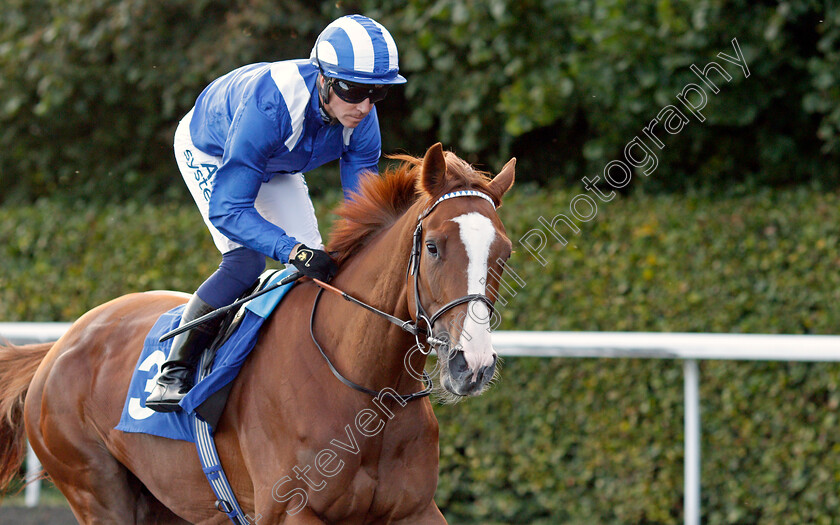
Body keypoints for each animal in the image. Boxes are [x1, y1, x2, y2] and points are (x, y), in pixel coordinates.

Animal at [0, 141, 516, 520]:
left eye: (504, 253)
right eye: (433, 247)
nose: (472, 365)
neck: (361, 384)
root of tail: (58, 347)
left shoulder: (415, 510)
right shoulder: (290, 511)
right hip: (96, 490)